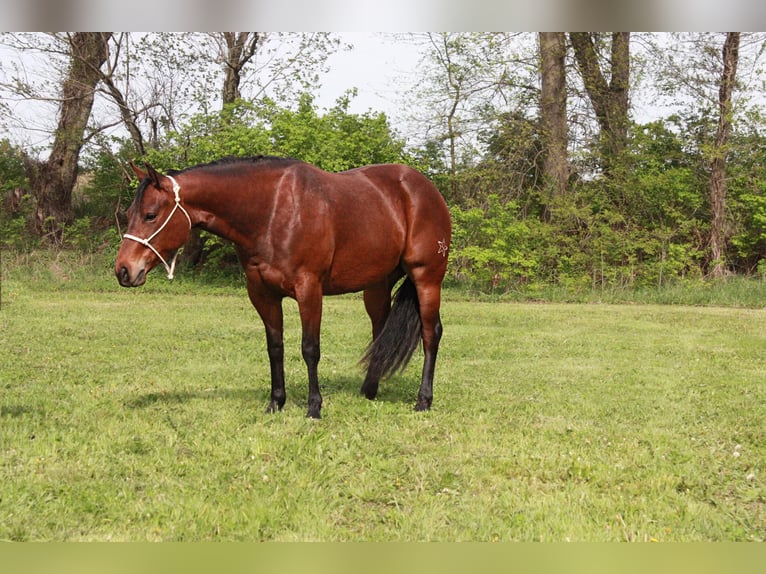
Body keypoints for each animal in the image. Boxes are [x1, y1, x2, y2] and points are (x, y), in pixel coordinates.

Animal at [113, 156, 450, 418]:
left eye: (151, 215)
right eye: (128, 215)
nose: (123, 271)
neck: (273, 211)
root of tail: (425, 188)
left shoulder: (309, 289)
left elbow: (310, 348)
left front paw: (314, 407)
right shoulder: (262, 294)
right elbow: (275, 347)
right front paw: (276, 403)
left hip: (427, 279)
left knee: (431, 333)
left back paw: (423, 400)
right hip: (377, 285)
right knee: (380, 330)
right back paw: (369, 390)